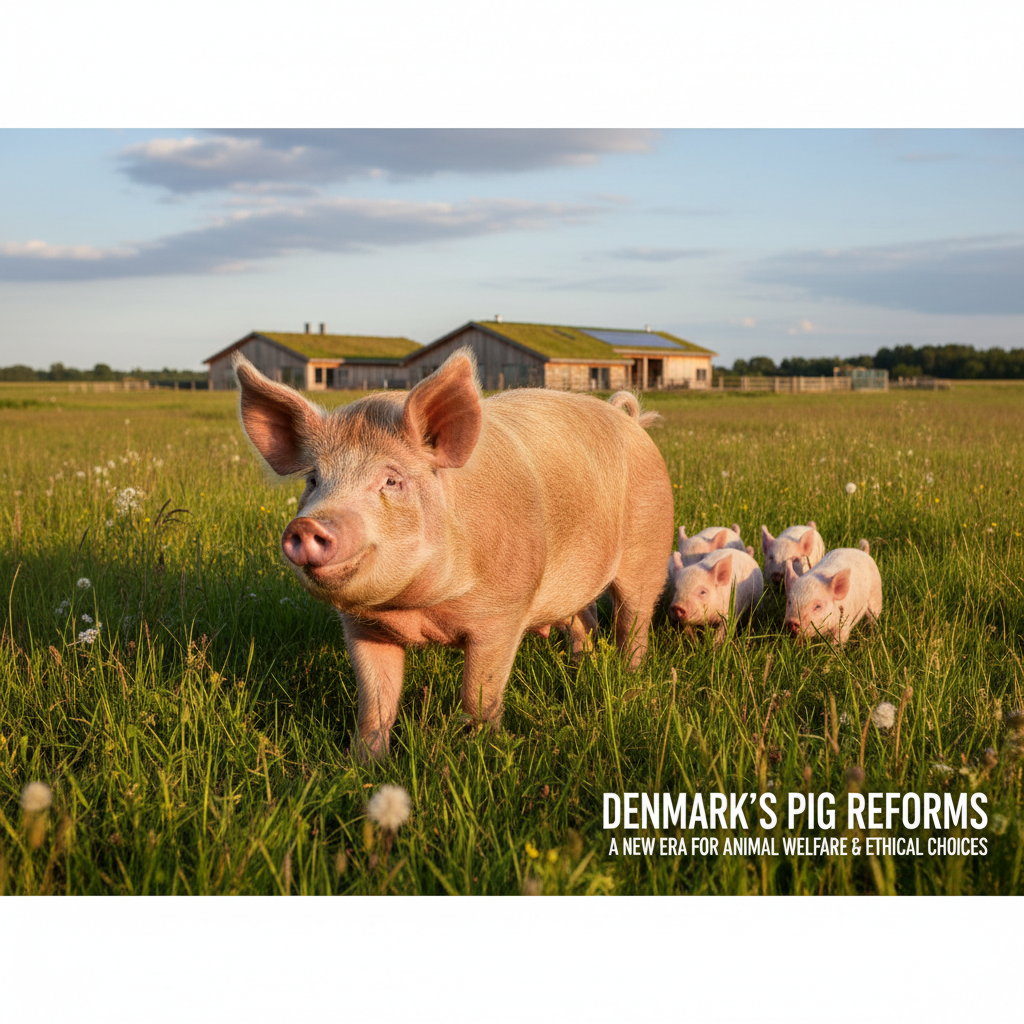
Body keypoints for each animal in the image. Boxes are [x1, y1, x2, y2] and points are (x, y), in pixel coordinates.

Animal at [233, 347, 674, 758]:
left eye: (392, 480)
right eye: (313, 479)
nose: (308, 525)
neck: (418, 610)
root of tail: (630, 420)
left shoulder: (502, 614)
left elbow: (479, 696)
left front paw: (478, 755)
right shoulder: (361, 627)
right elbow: (375, 703)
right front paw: (364, 765)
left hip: (649, 548)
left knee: (634, 621)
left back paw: (630, 681)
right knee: (585, 619)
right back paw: (577, 668)